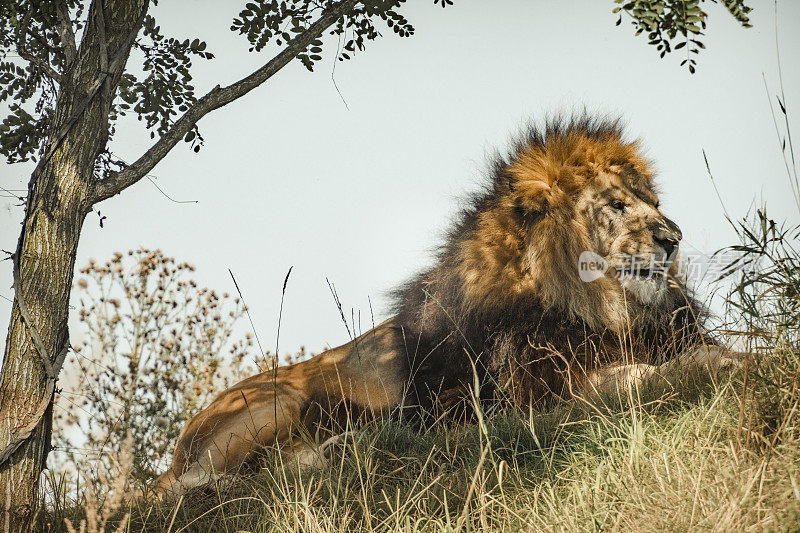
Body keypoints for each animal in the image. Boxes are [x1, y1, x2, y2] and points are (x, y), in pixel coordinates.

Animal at [150, 115, 736, 494]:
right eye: (616, 205)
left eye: (655, 203)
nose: (673, 237)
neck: (603, 311)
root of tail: (175, 451)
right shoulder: (539, 395)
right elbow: (645, 378)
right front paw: (719, 366)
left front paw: (732, 355)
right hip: (275, 401)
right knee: (196, 484)